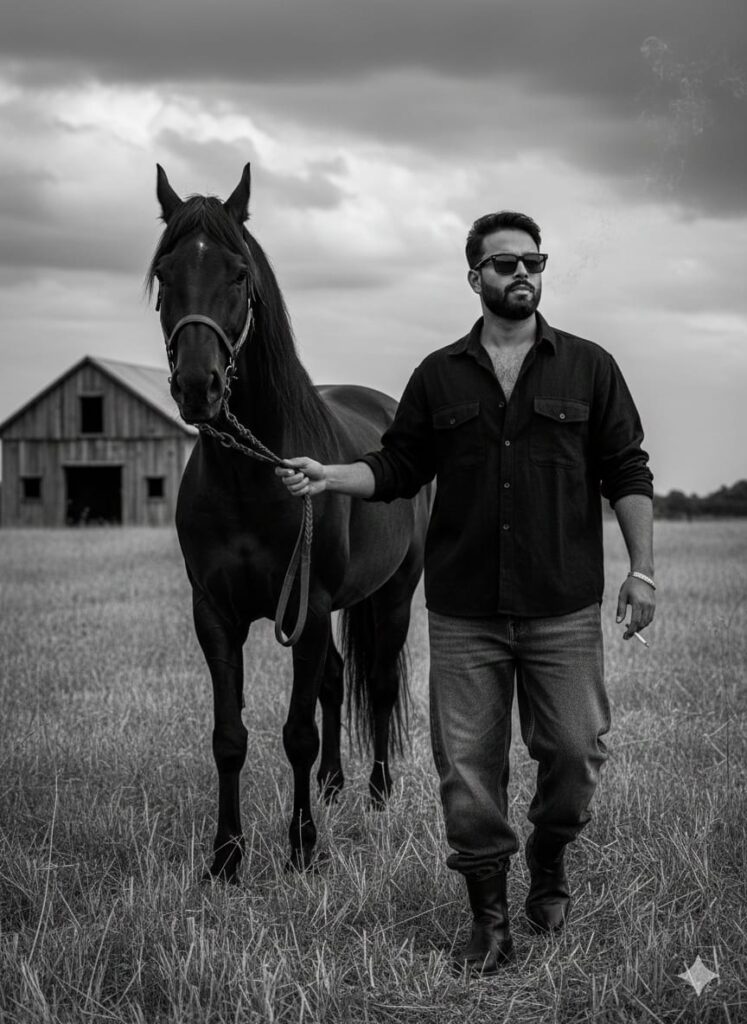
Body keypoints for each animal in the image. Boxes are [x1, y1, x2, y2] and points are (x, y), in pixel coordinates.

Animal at [147, 163, 431, 881]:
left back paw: (376, 793)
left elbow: (297, 732)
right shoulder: (216, 615)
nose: (199, 386)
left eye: (239, 273)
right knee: (334, 679)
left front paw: (302, 848)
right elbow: (229, 737)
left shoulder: (313, 601)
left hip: (393, 592)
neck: (250, 478)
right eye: (165, 272)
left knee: (378, 685)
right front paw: (226, 855)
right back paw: (331, 785)